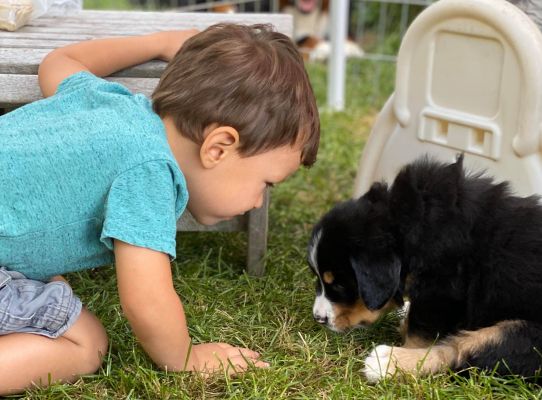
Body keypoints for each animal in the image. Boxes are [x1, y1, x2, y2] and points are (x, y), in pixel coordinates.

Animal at [308, 155, 542, 382]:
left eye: (340, 285)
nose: (318, 318)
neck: (408, 225)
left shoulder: (440, 289)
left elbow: (420, 332)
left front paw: (402, 351)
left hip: (520, 334)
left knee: (460, 354)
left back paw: (385, 363)